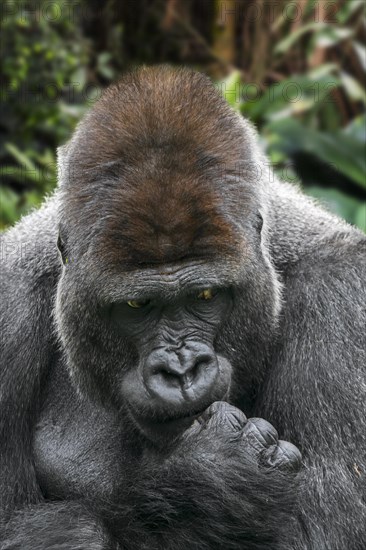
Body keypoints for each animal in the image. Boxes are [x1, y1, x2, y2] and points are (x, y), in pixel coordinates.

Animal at [0, 67, 366, 548]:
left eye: (205, 296)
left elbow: (322, 533)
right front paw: (208, 484)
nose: (181, 370)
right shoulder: (7, 306)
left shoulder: (343, 298)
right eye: (137, 303)